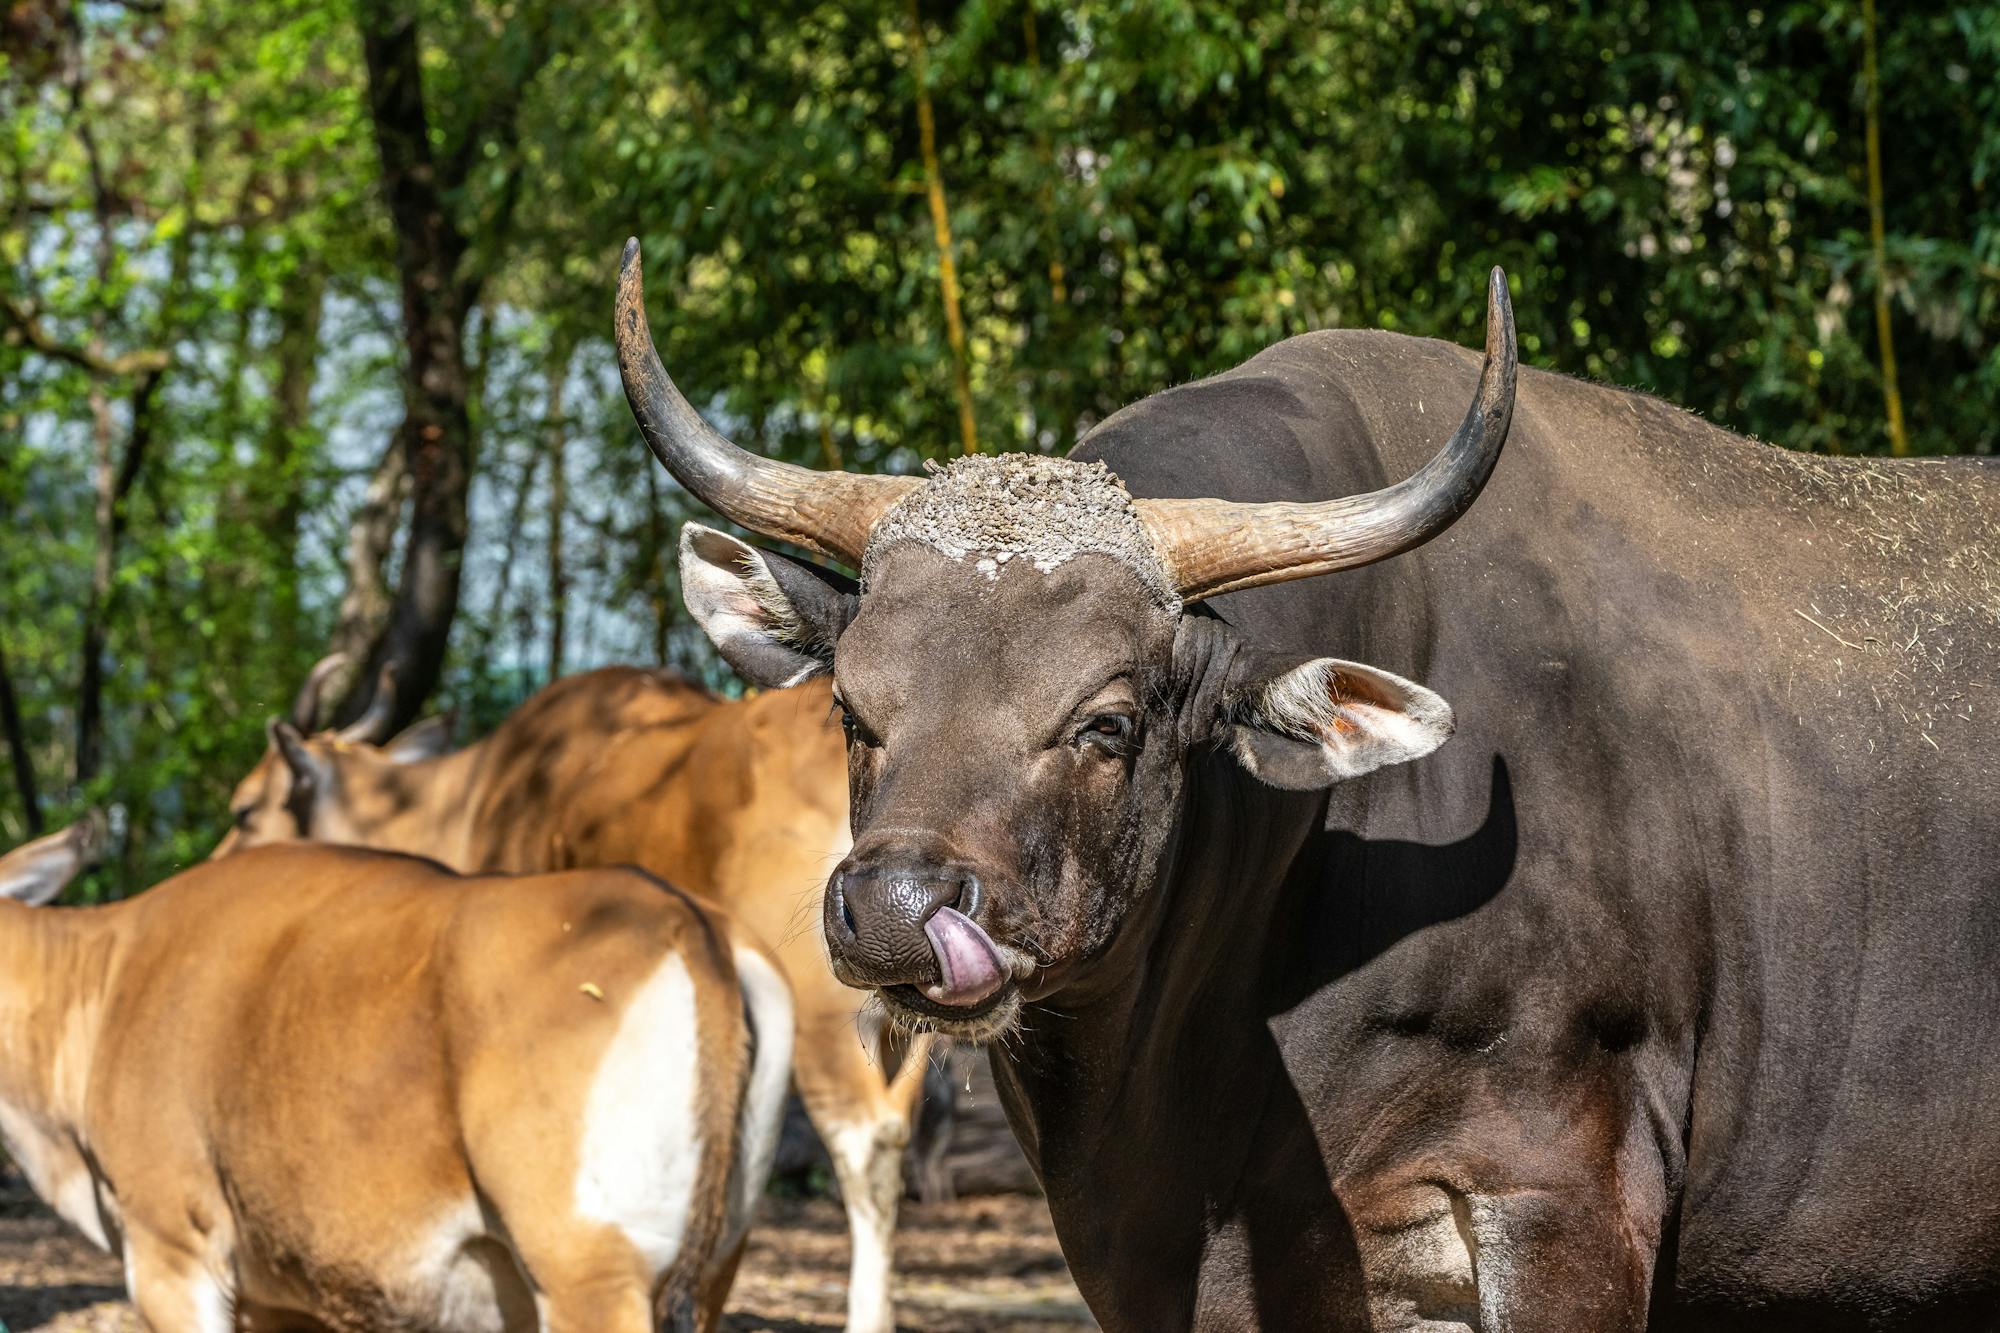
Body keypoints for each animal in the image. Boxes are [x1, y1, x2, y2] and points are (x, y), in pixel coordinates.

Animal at [0, 820, 791, 1333]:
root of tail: (688, 923)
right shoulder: (278, 1300)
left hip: (588, 1276)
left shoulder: (173, 1256)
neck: (98, 982)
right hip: (712, 1272)